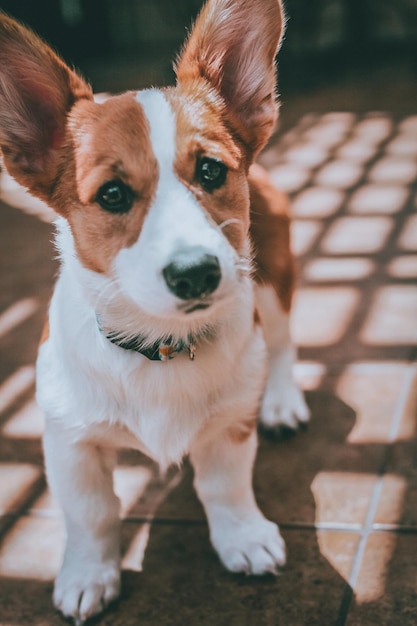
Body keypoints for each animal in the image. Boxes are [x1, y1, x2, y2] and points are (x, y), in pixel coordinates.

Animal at [0, 1, 306, 620]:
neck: (160, 341)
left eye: (212, 171)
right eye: (113, 195)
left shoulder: (230, 425)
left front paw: (243, 538)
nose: (197, 273)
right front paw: (88, 575)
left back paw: (282, 401)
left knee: (284, 344)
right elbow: (90, 513)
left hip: (273, 283)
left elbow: (224, 487)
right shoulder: (69, 442)